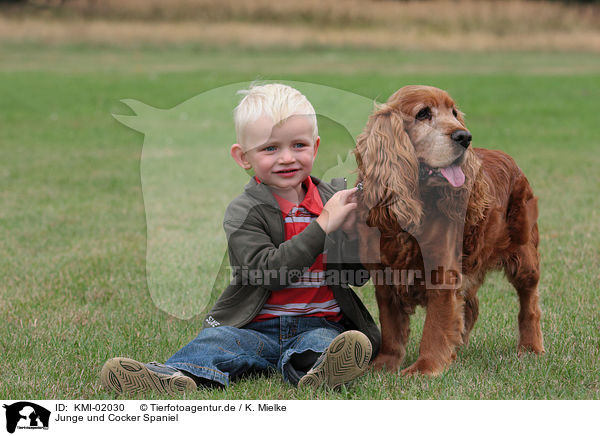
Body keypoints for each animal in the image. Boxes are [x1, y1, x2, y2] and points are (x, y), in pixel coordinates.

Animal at [354, 85, 548, 374]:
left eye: (454, 113)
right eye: (423, 113)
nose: (464, 136)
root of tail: (509, 158)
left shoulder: (442, 274)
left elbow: (435, 327)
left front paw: (424, 368)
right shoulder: (385, 279)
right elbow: (391, 329)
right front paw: (383, 366)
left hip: (524, 257)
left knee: (530, 303)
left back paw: (531, 347)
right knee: (471, 306)